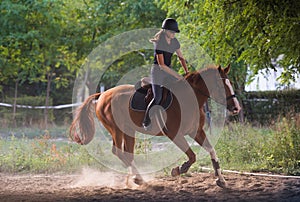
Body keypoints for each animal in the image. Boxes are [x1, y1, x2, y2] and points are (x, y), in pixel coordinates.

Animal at [69, 64, 240, 188]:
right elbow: (192, 156)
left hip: (129, 131)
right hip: (116, 129)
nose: (236, 108)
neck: (189, 99)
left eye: (230, 83)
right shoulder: (174, 134)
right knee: (118, 151)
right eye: (220, 86)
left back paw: (137, 179)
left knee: (127, 153)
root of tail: (102, 95)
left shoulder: (196, 131)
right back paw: (138, 179)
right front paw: (178, 170)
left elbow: (212, 151)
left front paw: (221, 180)